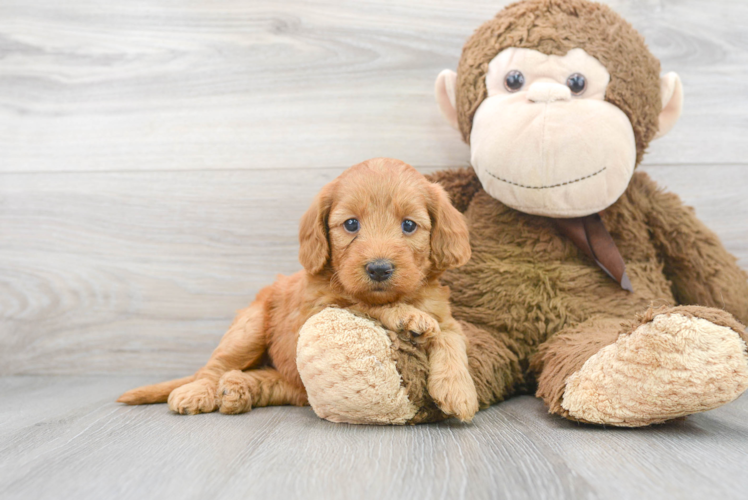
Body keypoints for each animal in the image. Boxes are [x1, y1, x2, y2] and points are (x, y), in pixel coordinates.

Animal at [117, 157, 480, 422]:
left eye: (408, 225)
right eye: (351, 224)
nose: (379, 268)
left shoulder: (446, 317)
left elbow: (452, 340)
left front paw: (459, 391)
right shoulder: (318, 309)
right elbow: (362, 303)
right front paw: (407, 316)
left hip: (289, 380)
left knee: (273, 383)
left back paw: (237, 390)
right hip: (249, 328)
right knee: (214, 366)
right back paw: (200, 391)